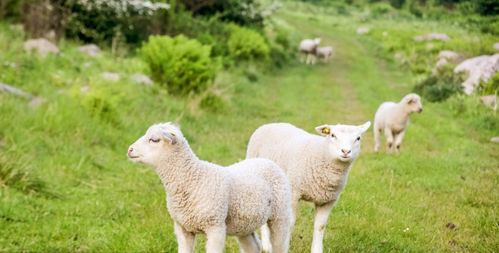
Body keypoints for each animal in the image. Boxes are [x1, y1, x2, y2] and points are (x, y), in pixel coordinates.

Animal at [128, 121, 292, 252]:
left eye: (154, 140)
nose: (130, 149)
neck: (193, 179)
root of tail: (266, 161)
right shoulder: (183, 229)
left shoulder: (215, 227)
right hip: (245, 224)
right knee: (252, 246)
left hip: (280, 215)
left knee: (280, 245)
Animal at [248, 121, 374, 252]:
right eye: (333, 135)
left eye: (358, 138)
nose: (345, 151)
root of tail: (272, 123)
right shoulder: (294, 193)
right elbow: (290, 223)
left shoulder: (328, 201)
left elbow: (320, 226)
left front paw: (317, 249)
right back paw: (266, 246)